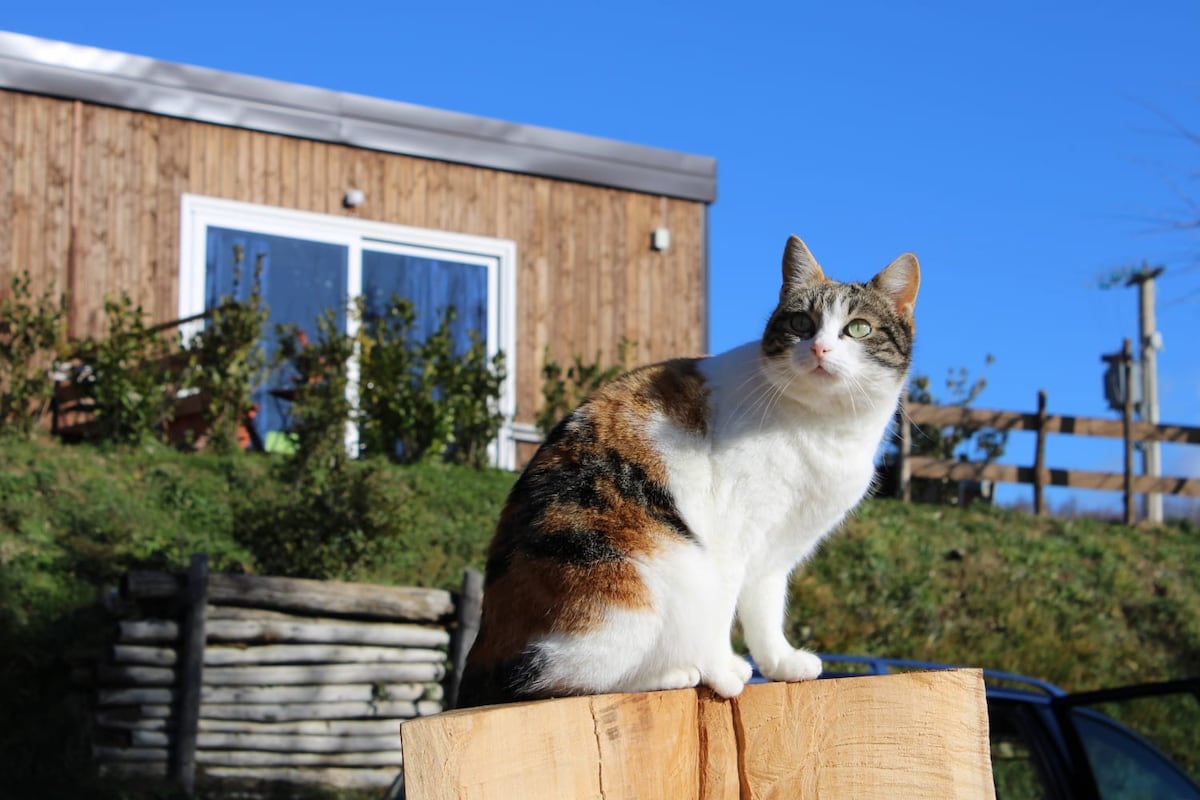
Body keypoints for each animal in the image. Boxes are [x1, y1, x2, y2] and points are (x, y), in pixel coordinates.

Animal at [456, 235, 916, 710]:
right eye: (801, 323)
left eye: (857, 328)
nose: (819, 349)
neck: (822, 426)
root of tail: (482, 647)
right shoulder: (730, 537)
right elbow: (722, 611)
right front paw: (723, 672)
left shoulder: (775, 551)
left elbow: (765, 609)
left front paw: (780, 664)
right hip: (656, 572)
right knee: (553, 681)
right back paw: (673, 673)